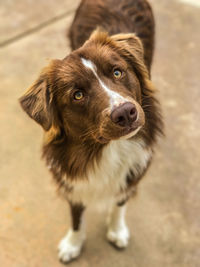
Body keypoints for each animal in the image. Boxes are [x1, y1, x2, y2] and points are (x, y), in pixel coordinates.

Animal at [19, 0, 162, 264]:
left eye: (117, 72)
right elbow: (76, 215)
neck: (104, 149)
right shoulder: (70, 179)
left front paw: (117, 230)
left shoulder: (134, 168)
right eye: (78, 95)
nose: (125, 113)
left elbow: (120, 202)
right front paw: (72, 244)